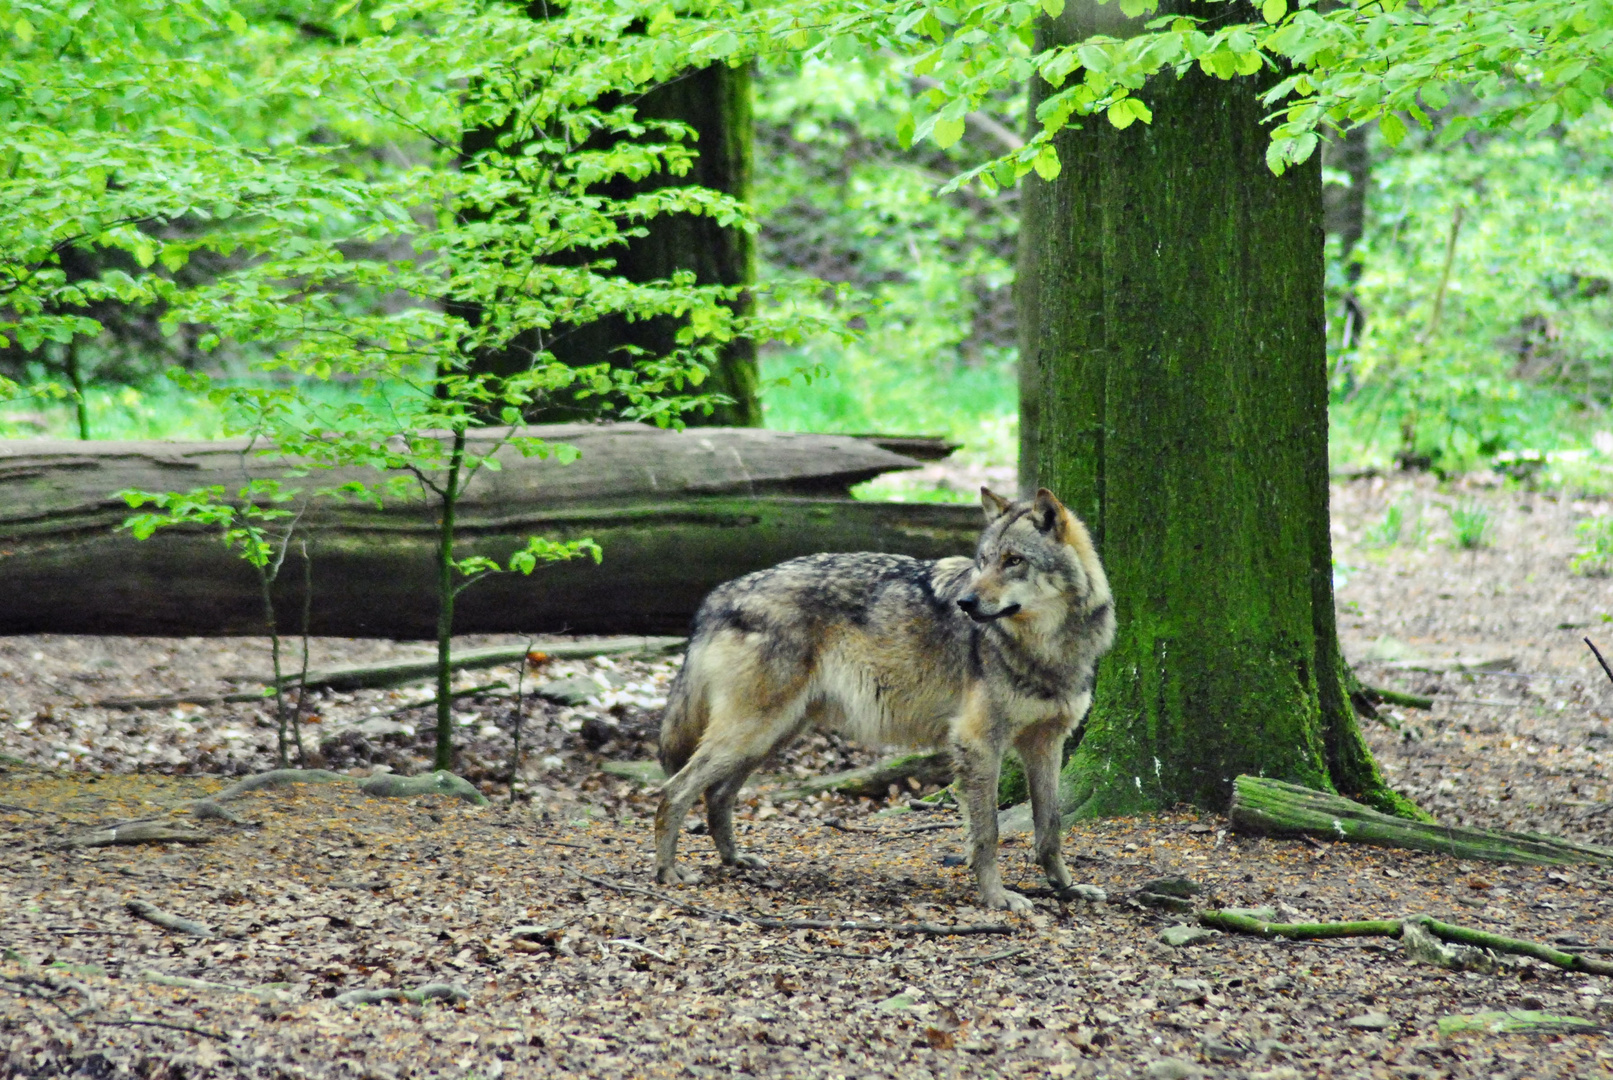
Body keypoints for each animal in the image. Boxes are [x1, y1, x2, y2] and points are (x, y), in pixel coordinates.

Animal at [648, 490, 1116, 915]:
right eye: (983, 562)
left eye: (1014, 560)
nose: (965, 603)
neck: (1047, 649)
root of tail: (720, 595)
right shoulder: (978, 744)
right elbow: (988, 833)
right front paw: (998, 898)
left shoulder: (1047, 744)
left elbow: (1050, 827)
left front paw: (1067, 888)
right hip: (753, 732)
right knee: (674, 791)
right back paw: (668, 872)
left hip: (771, 736)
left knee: (717, 795)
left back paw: (735, 860)